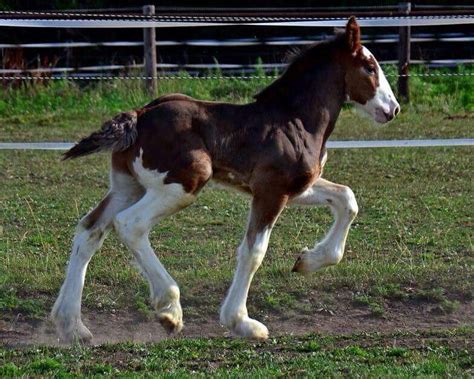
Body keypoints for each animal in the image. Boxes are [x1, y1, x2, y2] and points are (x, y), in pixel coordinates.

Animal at [51, 17, 400, 342]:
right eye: (370, 67)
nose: (393, 109)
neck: (295, 120)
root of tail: (139, 115)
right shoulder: (271, 191)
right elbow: (254, 251)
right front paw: (242, 323)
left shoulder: (297, 187)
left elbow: (347, 198)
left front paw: (308, 261)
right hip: (184, 182)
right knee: (129, 224)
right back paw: (169, 309)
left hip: (128, 186)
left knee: (90, 230)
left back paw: (72, 326)